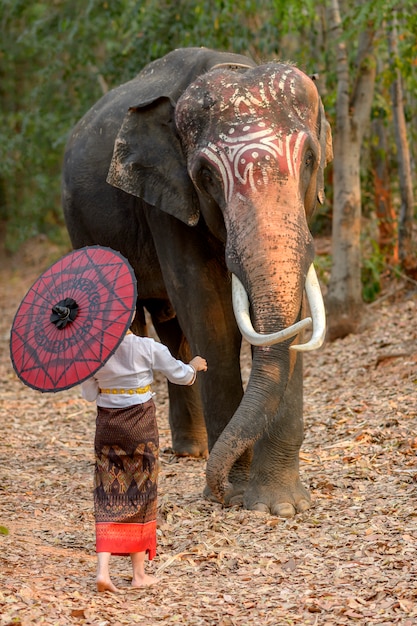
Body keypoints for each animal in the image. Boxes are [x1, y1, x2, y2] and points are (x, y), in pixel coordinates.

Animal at [61, 46, 334, 516]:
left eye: (310, 160)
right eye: (205, 175)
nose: (219, 489)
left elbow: (289, 320)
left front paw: (281, 506)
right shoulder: (166, 202)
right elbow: (210, 315)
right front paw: (239, 496)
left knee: (171, 327)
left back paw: (193, 451)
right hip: (83, 228)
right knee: (135, 320)